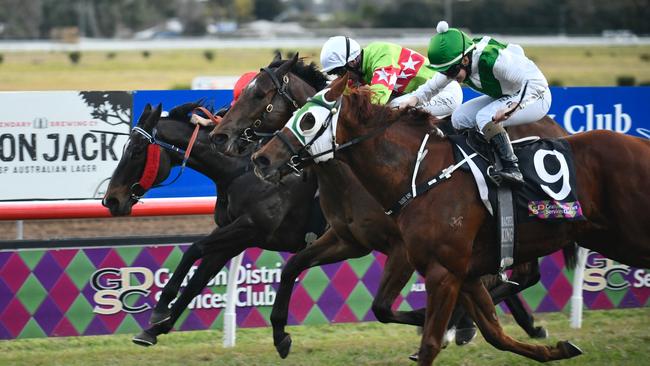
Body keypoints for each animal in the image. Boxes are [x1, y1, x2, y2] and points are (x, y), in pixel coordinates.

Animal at [209, 55, 572, 358]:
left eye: (259, 95)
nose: (219, 136)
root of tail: (556, 127)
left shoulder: (401, 248)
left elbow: (383, 307)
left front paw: (433, 322)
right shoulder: (348, 240)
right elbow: (292, 267)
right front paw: (281, 335)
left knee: (521, 275)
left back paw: (465, 325)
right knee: (520, 276)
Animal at [249, 73, 648, 364]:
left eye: (308, 119)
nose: (260, 158)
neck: (419, 172)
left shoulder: (432, 265)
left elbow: (408, 326)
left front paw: (436, 326)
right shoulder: (365, 244)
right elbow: (495, 334)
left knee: (526, 276)